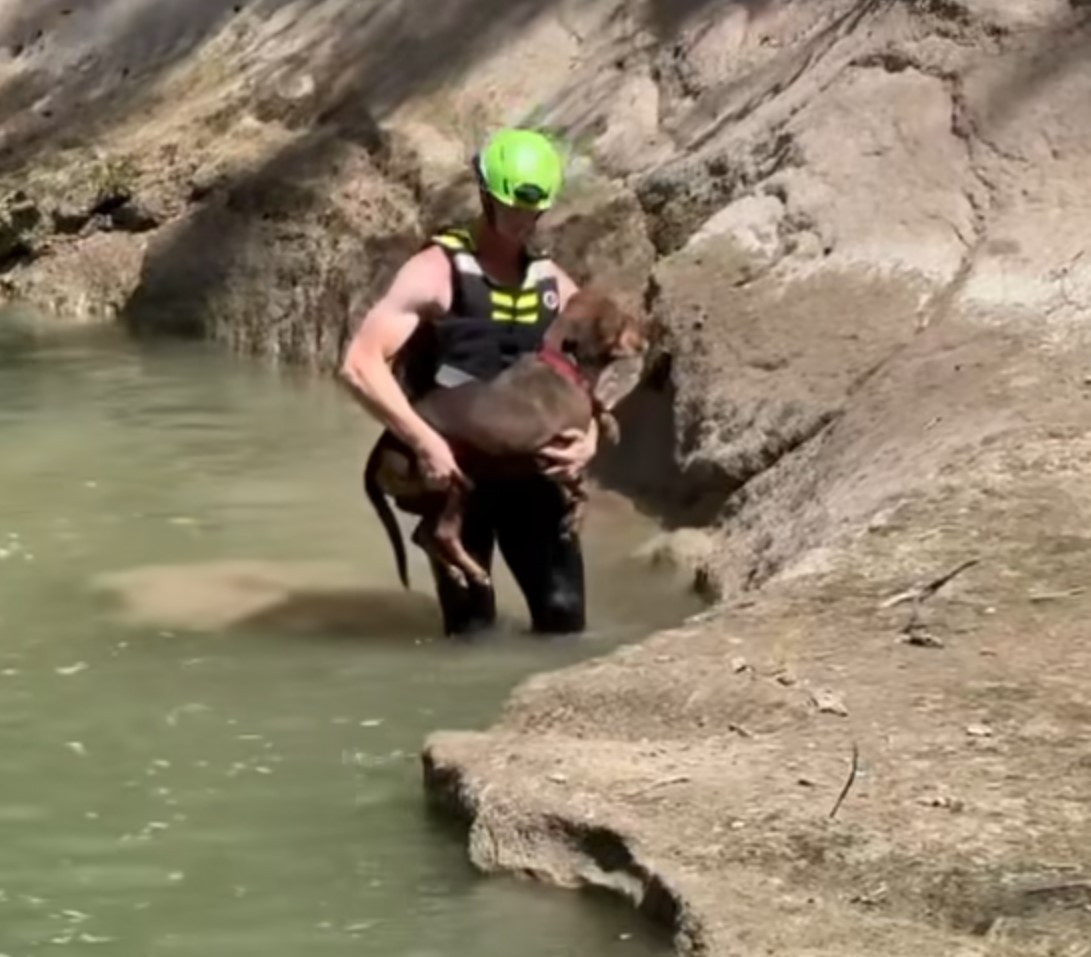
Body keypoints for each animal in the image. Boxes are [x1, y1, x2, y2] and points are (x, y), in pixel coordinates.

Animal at [362, 290, 645, 589]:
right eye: (624, 322)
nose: (646, 341)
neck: (563, 363)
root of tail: (381, 447)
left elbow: (596, 406)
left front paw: (610, 424)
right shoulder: (549, 455)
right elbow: (581, 489)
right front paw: (575, 519)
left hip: (430, 498)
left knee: (423, 535)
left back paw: (456, 571)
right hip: (453, 484)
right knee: (443, 535)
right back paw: (474, 571)